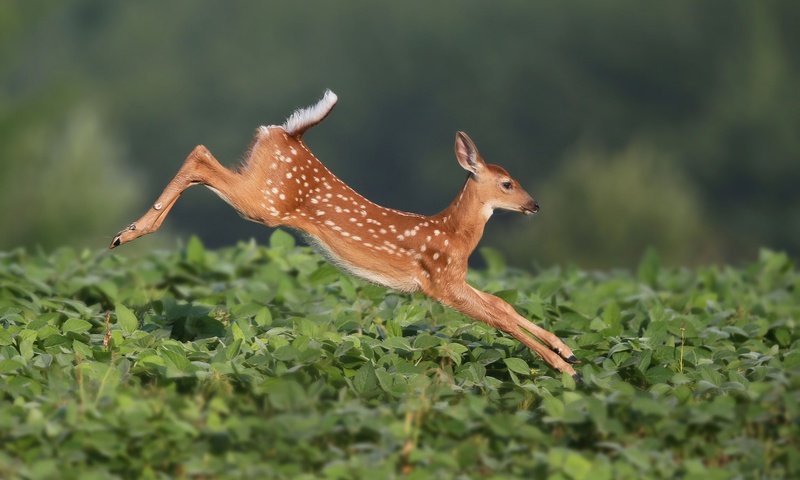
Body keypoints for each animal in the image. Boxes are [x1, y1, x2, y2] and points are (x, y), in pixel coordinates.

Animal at [109, 91, 580, 378]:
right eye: (507, 183)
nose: (535, 205)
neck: (455, 235)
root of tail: (290, 133)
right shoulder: (440, 282)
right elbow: (499, 317)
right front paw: (566, 369)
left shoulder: (454, 279)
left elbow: (502, 304)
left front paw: (566, 349)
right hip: (266, 203)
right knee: (201, 155)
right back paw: (130, 232)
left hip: (260, 183)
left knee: (202, 156)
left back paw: (129, 230)